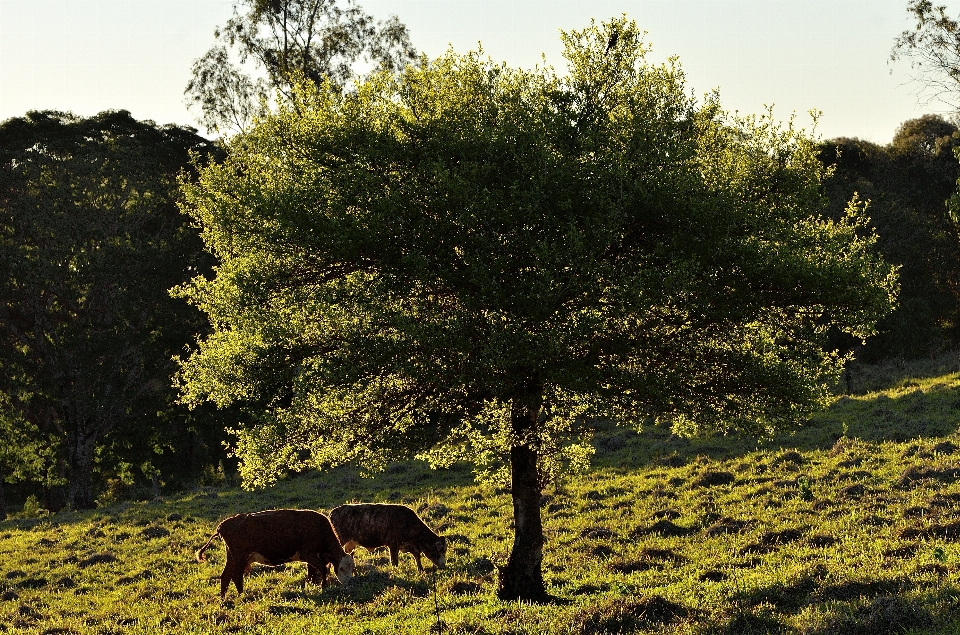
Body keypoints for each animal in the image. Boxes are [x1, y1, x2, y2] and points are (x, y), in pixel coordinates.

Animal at [194, 510, 352, 600]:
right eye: (342, 568)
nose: (348, 584)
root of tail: (222, 526)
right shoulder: (309, 554)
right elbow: (323, 569)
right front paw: (324, 586)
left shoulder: (312, 558)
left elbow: (313, 571)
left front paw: (312, 584)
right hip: (240, 557)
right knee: (236, 576)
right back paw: (242, 595)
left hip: (232, 557)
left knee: (225, 576)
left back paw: (223, 598)